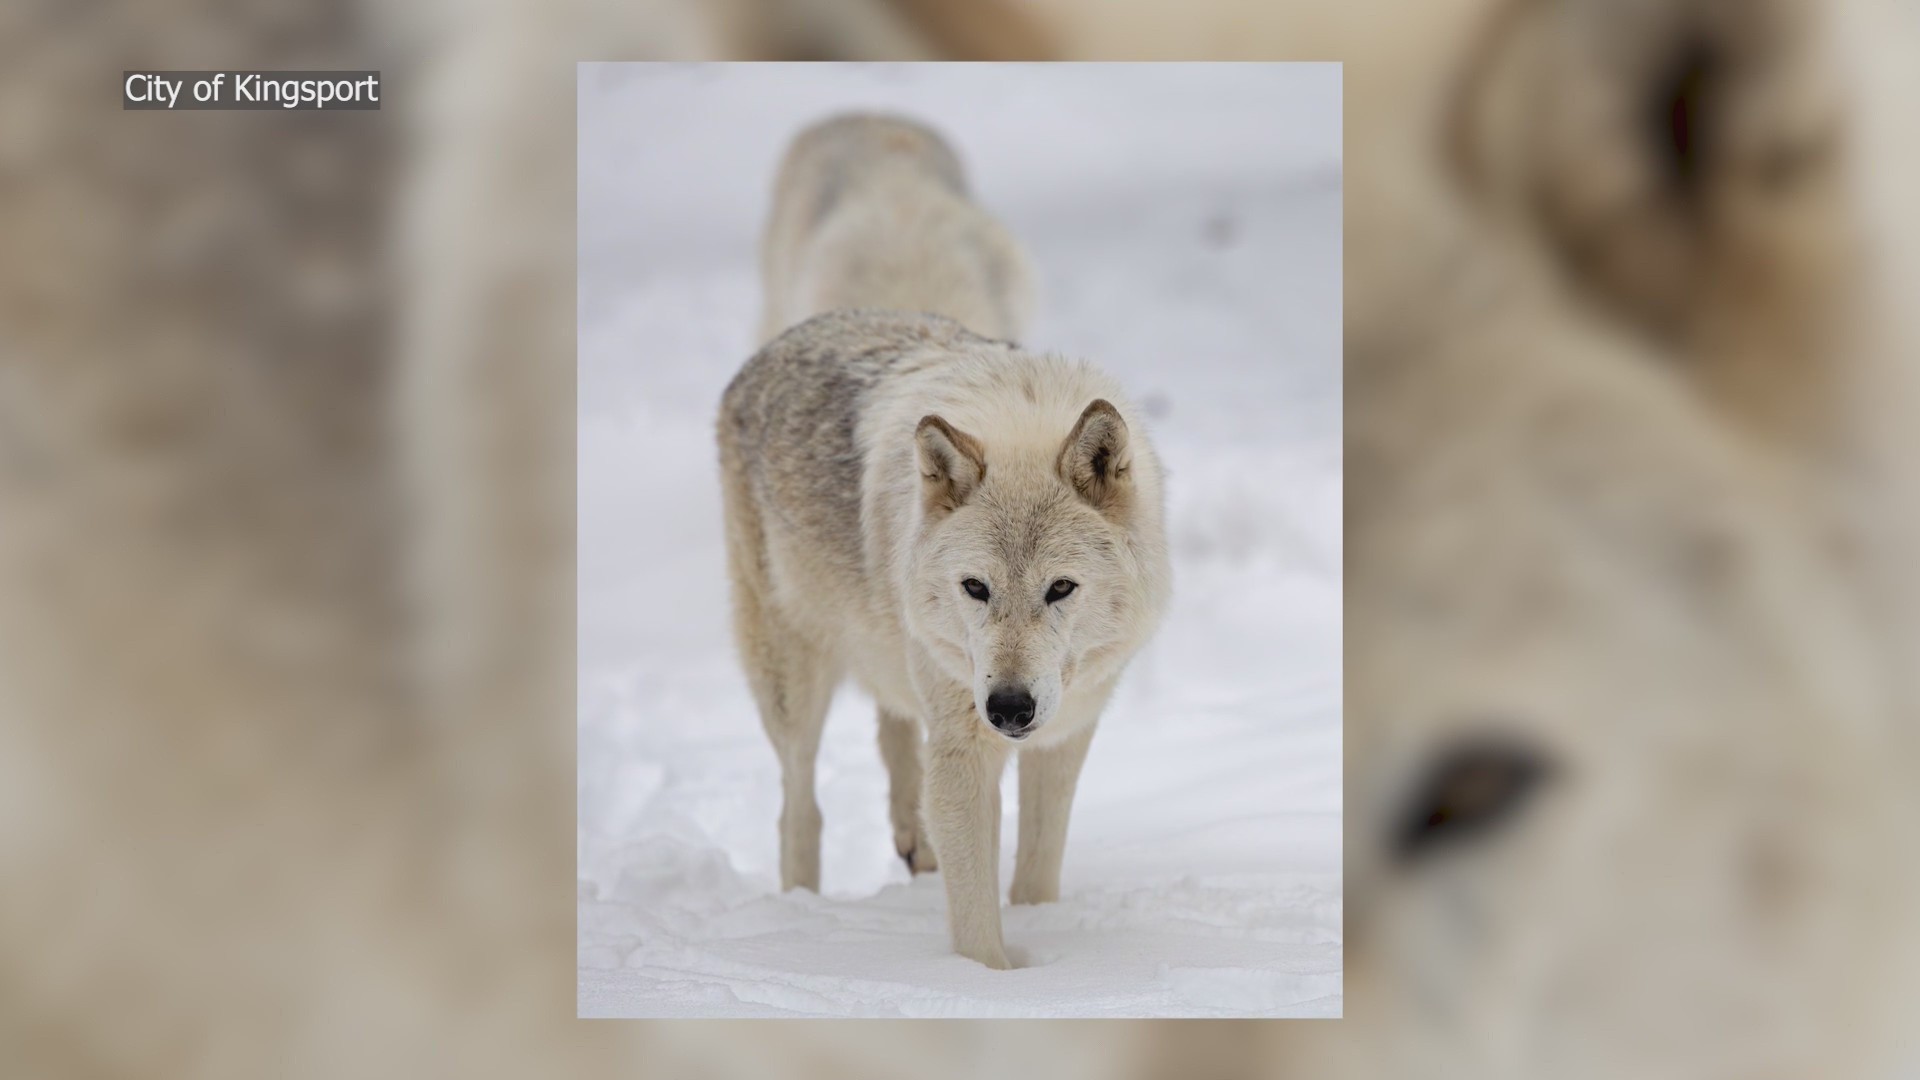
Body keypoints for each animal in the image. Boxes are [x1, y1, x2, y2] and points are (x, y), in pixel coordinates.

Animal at [719, 115, 1170, 969]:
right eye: (976, 588)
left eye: (1061, 589)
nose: (1010, 707)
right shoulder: (964, 749)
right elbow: (975, 917)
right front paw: (986, 982)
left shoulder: (1065, 736)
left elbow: (1036, 874)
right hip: (792, 673)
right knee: (799, 804)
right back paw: (801, 911)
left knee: (892, 730)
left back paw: (910, 845)